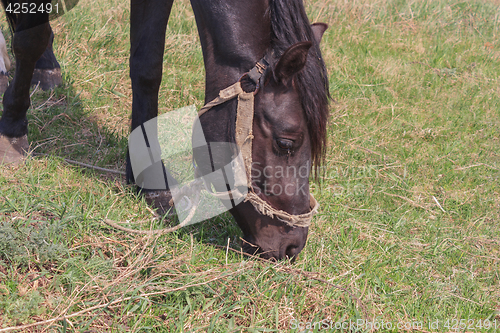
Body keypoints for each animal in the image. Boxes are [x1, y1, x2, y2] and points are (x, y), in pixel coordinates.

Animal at [0, 0, 328, 260]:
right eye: (287, 142)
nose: (294, 246)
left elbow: (148, 66)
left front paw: (150, 177)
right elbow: (30, 39)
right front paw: (12, 129)